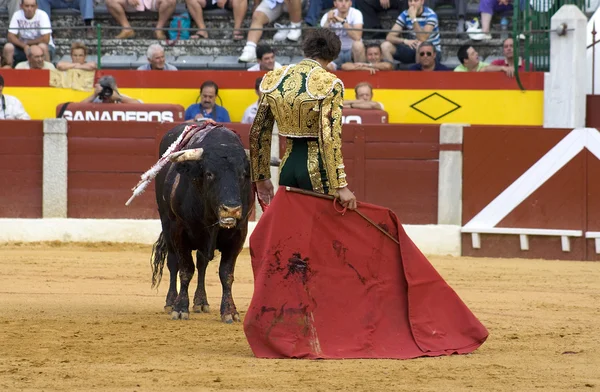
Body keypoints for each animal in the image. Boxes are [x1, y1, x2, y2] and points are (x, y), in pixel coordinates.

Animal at [152, 124, 253, 324]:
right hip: (166, 224)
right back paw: (170, 301)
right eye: (209, 174)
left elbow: (226, 273)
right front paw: (180, 308)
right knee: (173, 263)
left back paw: (201, 301)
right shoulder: (179, 231)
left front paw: (229, 311)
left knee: (202, 264)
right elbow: (185, 270)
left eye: (243, 175)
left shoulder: (239, 234)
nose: (231, 209)